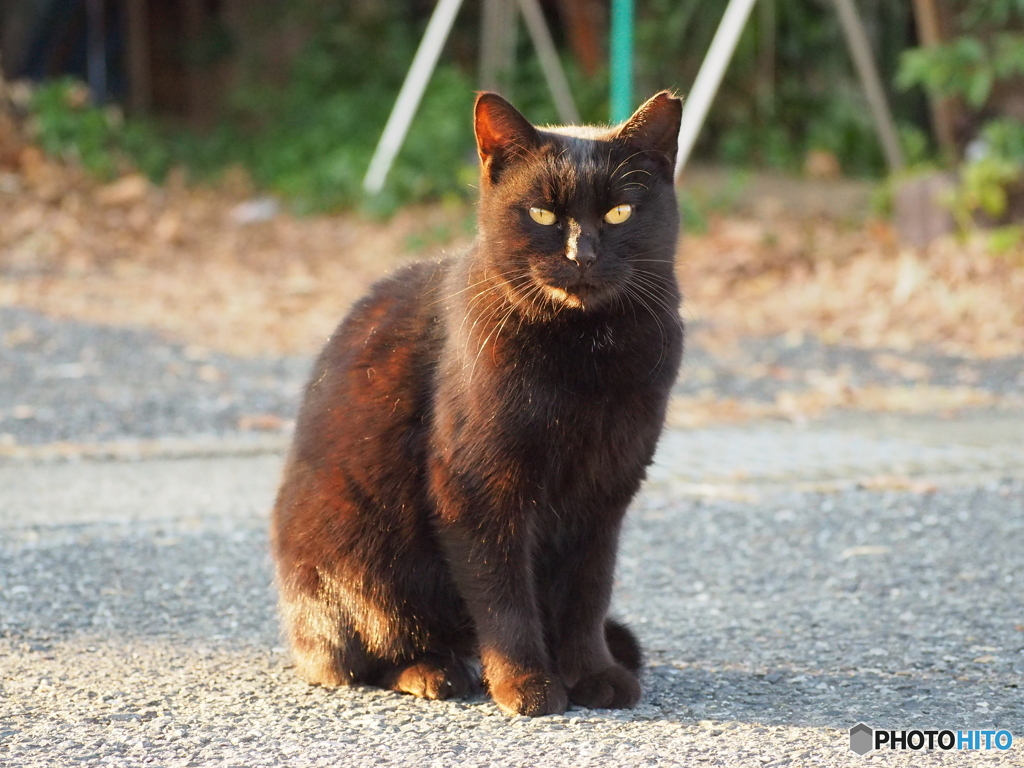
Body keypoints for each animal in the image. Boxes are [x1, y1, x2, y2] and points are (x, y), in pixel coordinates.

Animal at [270, 93, 679, 720]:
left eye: (618, 214)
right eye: (541, 215)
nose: (581, 254)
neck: (583, 352)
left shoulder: (605, 492)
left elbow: (588, 592)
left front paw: (592, 673)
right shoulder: (476, 486)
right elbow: (503, 595)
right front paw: (526, 684)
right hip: (356, 548)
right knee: (362, 651)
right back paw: (436, 670)